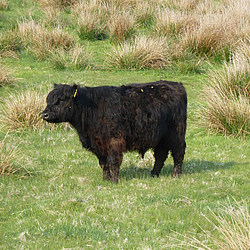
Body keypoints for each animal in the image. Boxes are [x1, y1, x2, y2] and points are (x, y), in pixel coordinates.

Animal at [42, 81, 188, 183]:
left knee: (178, 152)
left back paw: (176, 174)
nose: (44, 114)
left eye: (60, 100)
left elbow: (113, 161)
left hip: (176, 133)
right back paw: (153, 174)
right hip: (161, 137)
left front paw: (115, 180)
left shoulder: (114, 140)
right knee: (160, 155)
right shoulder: (98, 144)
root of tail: (177, 85)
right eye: (48, 99)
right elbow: (103, 163)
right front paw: (106, 179)